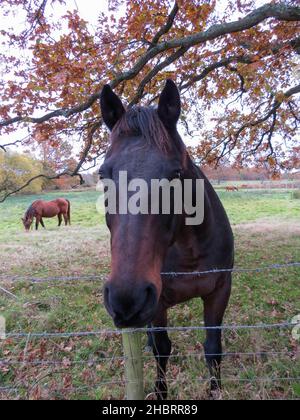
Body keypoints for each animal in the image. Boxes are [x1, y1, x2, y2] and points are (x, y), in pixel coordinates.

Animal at [99, 80, 233, 398]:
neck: (190, 251)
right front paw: (160, 394)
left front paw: (216, 391)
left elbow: (213, 349)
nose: (126, 299)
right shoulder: (156, 302)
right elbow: (162, 348)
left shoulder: (220, 291)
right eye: (103, 175)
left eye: (175, 174)